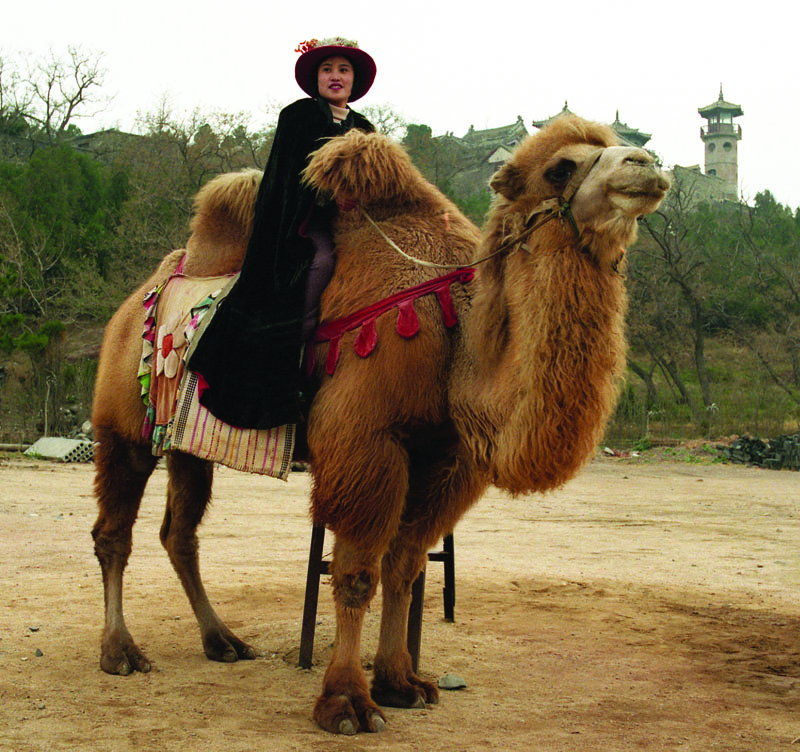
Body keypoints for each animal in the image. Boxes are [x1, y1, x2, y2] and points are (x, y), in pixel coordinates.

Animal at [90, 116, 672, 736]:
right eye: (560, 167)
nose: (645, 164)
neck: (455, 342)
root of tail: (139, 297)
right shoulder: (367, 443)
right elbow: (356, 573)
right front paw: (347, 701)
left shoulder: (443, 457)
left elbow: (406, 566)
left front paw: (400, 682)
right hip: (123, 428)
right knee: (114, 532)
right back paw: (120, 652)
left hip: (186, 446)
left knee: (179, 532)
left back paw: (223, 641)